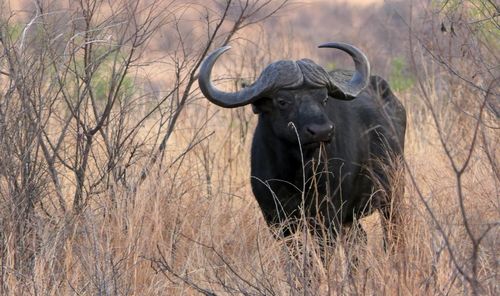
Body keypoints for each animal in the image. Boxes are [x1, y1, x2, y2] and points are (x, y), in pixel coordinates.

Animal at [196, 42, 406, 251]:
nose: (322, 131)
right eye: (282, 101)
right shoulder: (276, 219)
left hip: (392, 195)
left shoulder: (327, 216)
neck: (295, 174)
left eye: (324, 98)